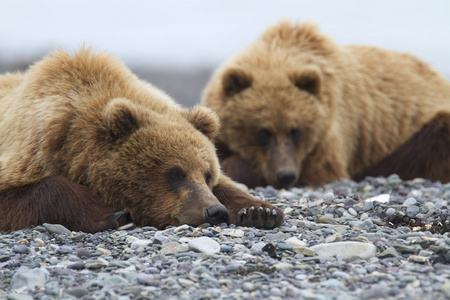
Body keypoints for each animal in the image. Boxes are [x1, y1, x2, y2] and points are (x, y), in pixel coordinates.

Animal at [0, 48, 284, 233]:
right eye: (174, 172)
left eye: (207, 174)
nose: (214, 211)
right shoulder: (34, 150)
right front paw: (108, 212)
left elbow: (231, 186)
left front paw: (260, 212)